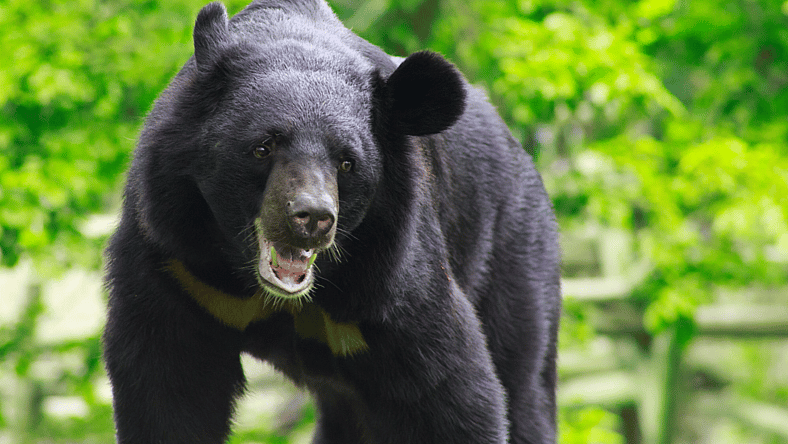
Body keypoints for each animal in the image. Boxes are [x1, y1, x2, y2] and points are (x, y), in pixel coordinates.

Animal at [102, 1, 561, 443]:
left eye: (346, 163)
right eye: (263, 147)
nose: (313, 218)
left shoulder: (391, 275)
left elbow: (451, 392)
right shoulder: (176, 262)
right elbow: (168, 387)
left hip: (512, 256)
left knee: (523, 382)